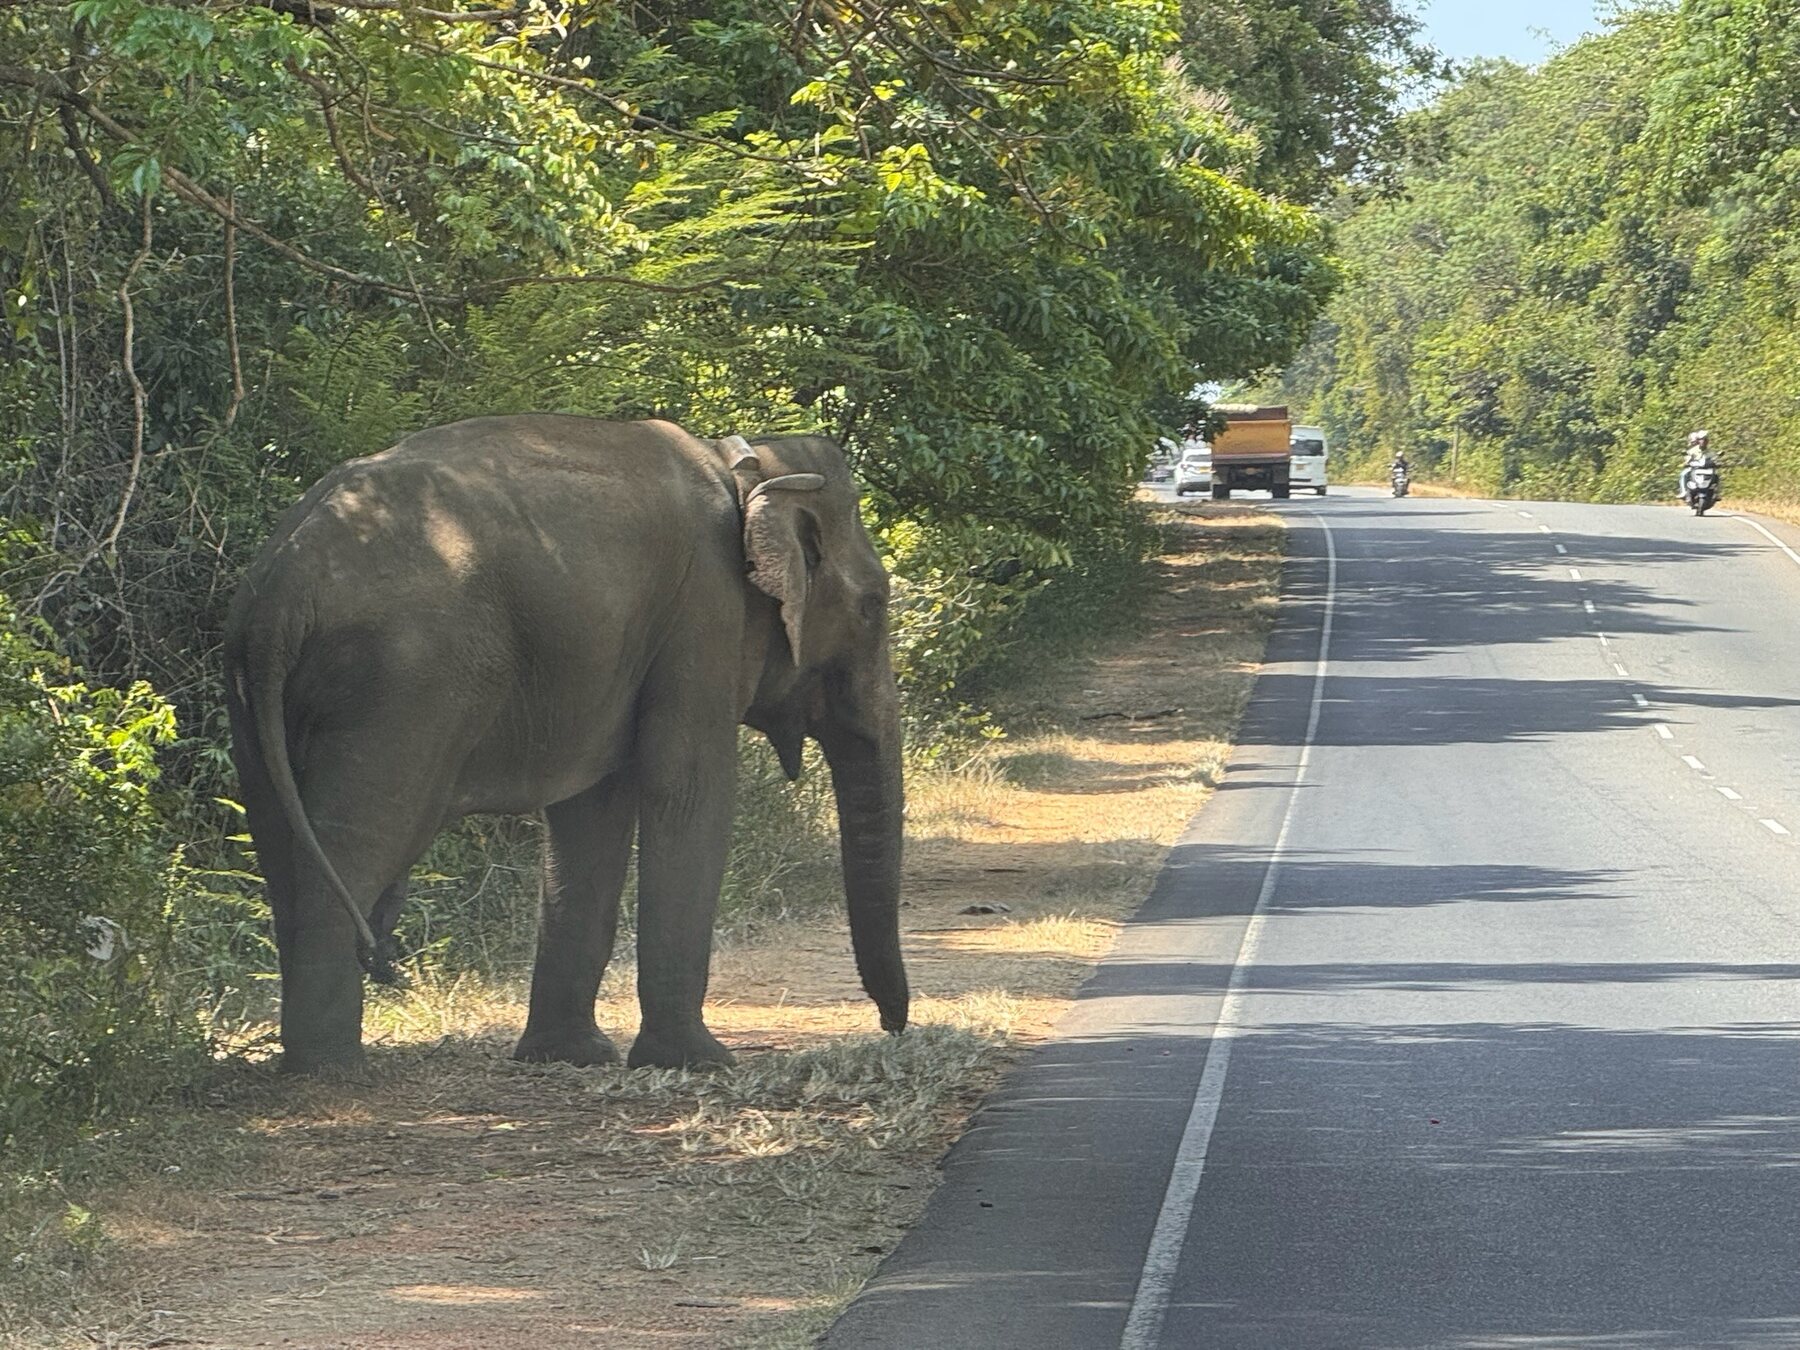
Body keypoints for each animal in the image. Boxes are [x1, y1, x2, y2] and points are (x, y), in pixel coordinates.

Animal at [223, 415, 909, 1073]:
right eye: (874, 606)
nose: (893, 1027)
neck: (749, 466)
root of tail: (284, 587)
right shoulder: (707, 611)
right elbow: (687, 787)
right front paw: (702, 1063)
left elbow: (593, 811)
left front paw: (569, 1056)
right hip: (402, 683)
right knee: (356, 847)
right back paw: (332, 1069)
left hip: (255, 693)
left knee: (283, 846)